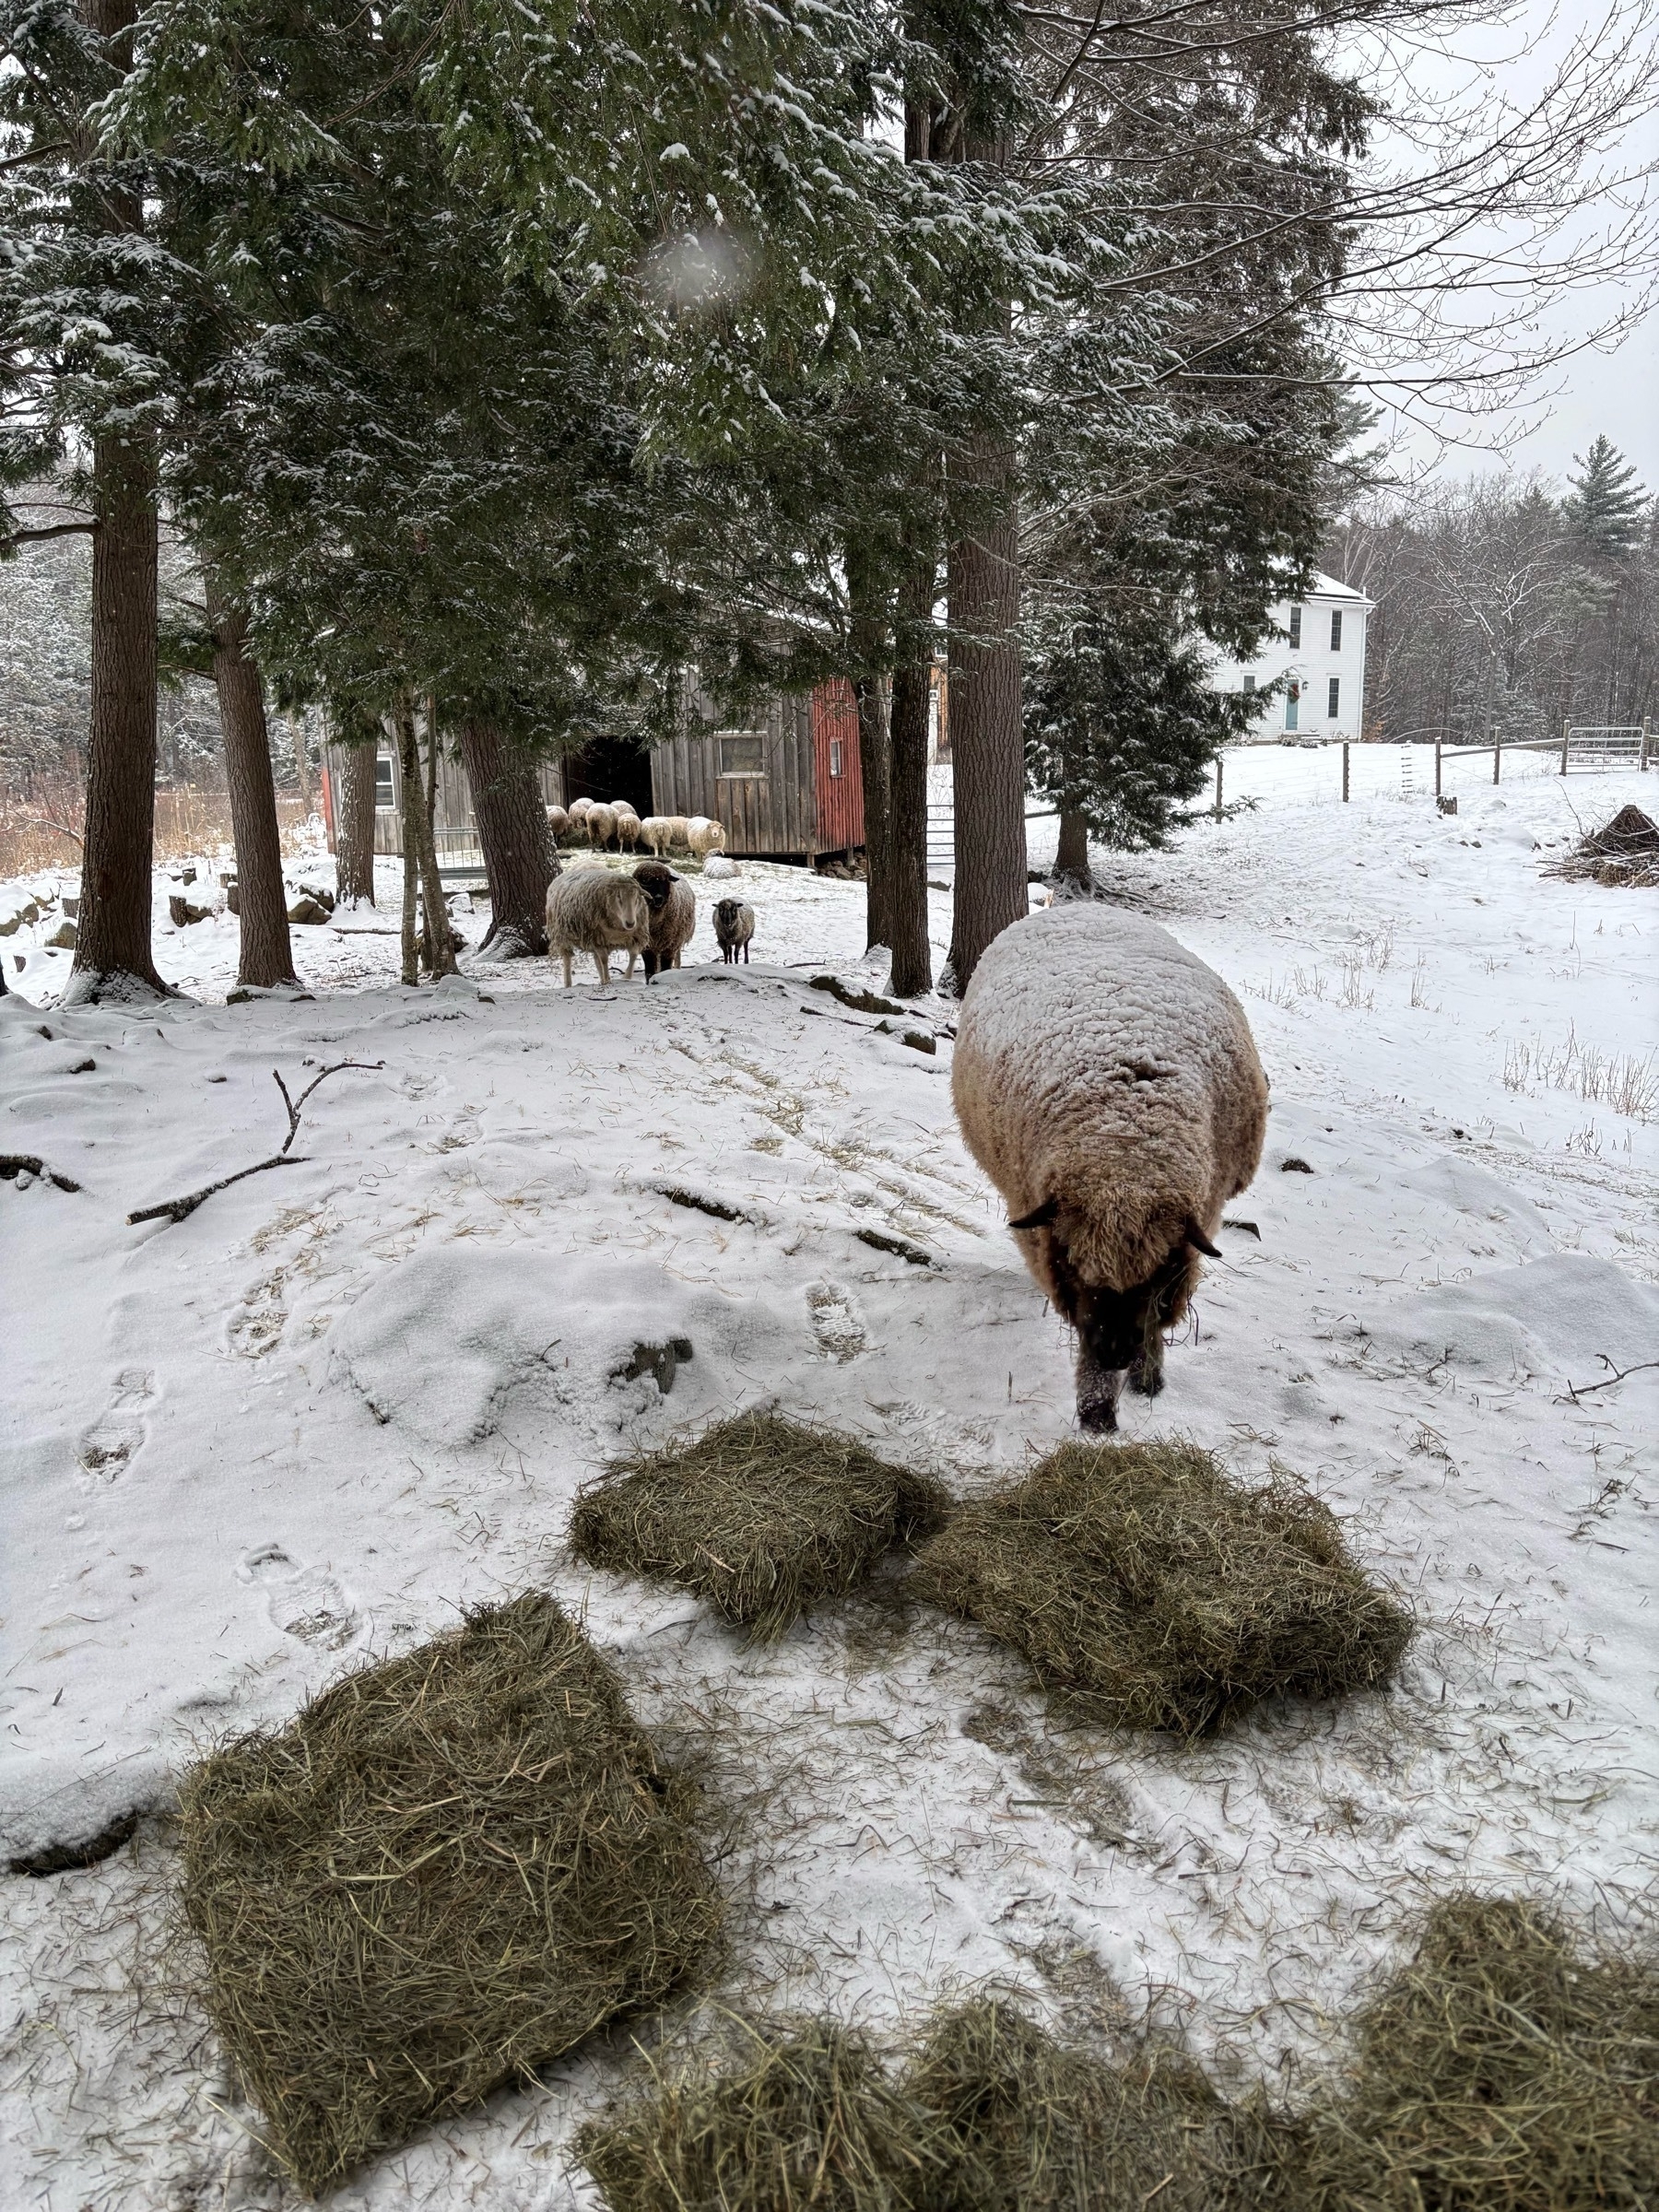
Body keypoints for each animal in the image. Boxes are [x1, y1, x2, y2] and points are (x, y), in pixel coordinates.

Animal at [628, 858, 694, 982]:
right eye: (645, 882)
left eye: (664, 880)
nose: (659, 898)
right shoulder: (647, 946)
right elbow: (649, 971)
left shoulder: (669, 945)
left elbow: (666, 968)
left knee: (677, 956)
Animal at [955, 898, 1265, 1433]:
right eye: (1079, 1269)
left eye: (1154, 1276)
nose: (1117, 1355)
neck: (1125, 1141)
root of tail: (1073, 903)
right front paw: (1097, 1411)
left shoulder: (1194, 1228)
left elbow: (1158, 1319)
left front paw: (1147, 1378)